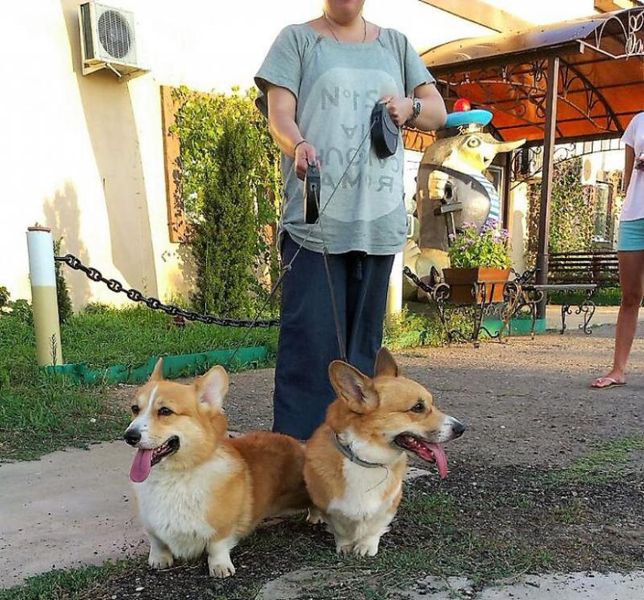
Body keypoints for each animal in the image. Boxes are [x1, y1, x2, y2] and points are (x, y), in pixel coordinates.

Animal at [124, 359, 309, 577]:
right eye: (135, 408)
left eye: (165, 411)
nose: (129, 436)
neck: (177, 475)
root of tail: (294, 442)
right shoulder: (150, 523)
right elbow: (157, 541)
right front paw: (159, 558)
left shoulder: (222, 527)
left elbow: (216, 546)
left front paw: (220, 566)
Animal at [304, 348, 465, 557]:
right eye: (418, 407)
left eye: (432, 403)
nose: (461, 428)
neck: (367, 460)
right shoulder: (332, 506)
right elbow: (341, 528)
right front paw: (345, 545)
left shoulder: (389, 504)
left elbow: (375, 527)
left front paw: (366, 546)